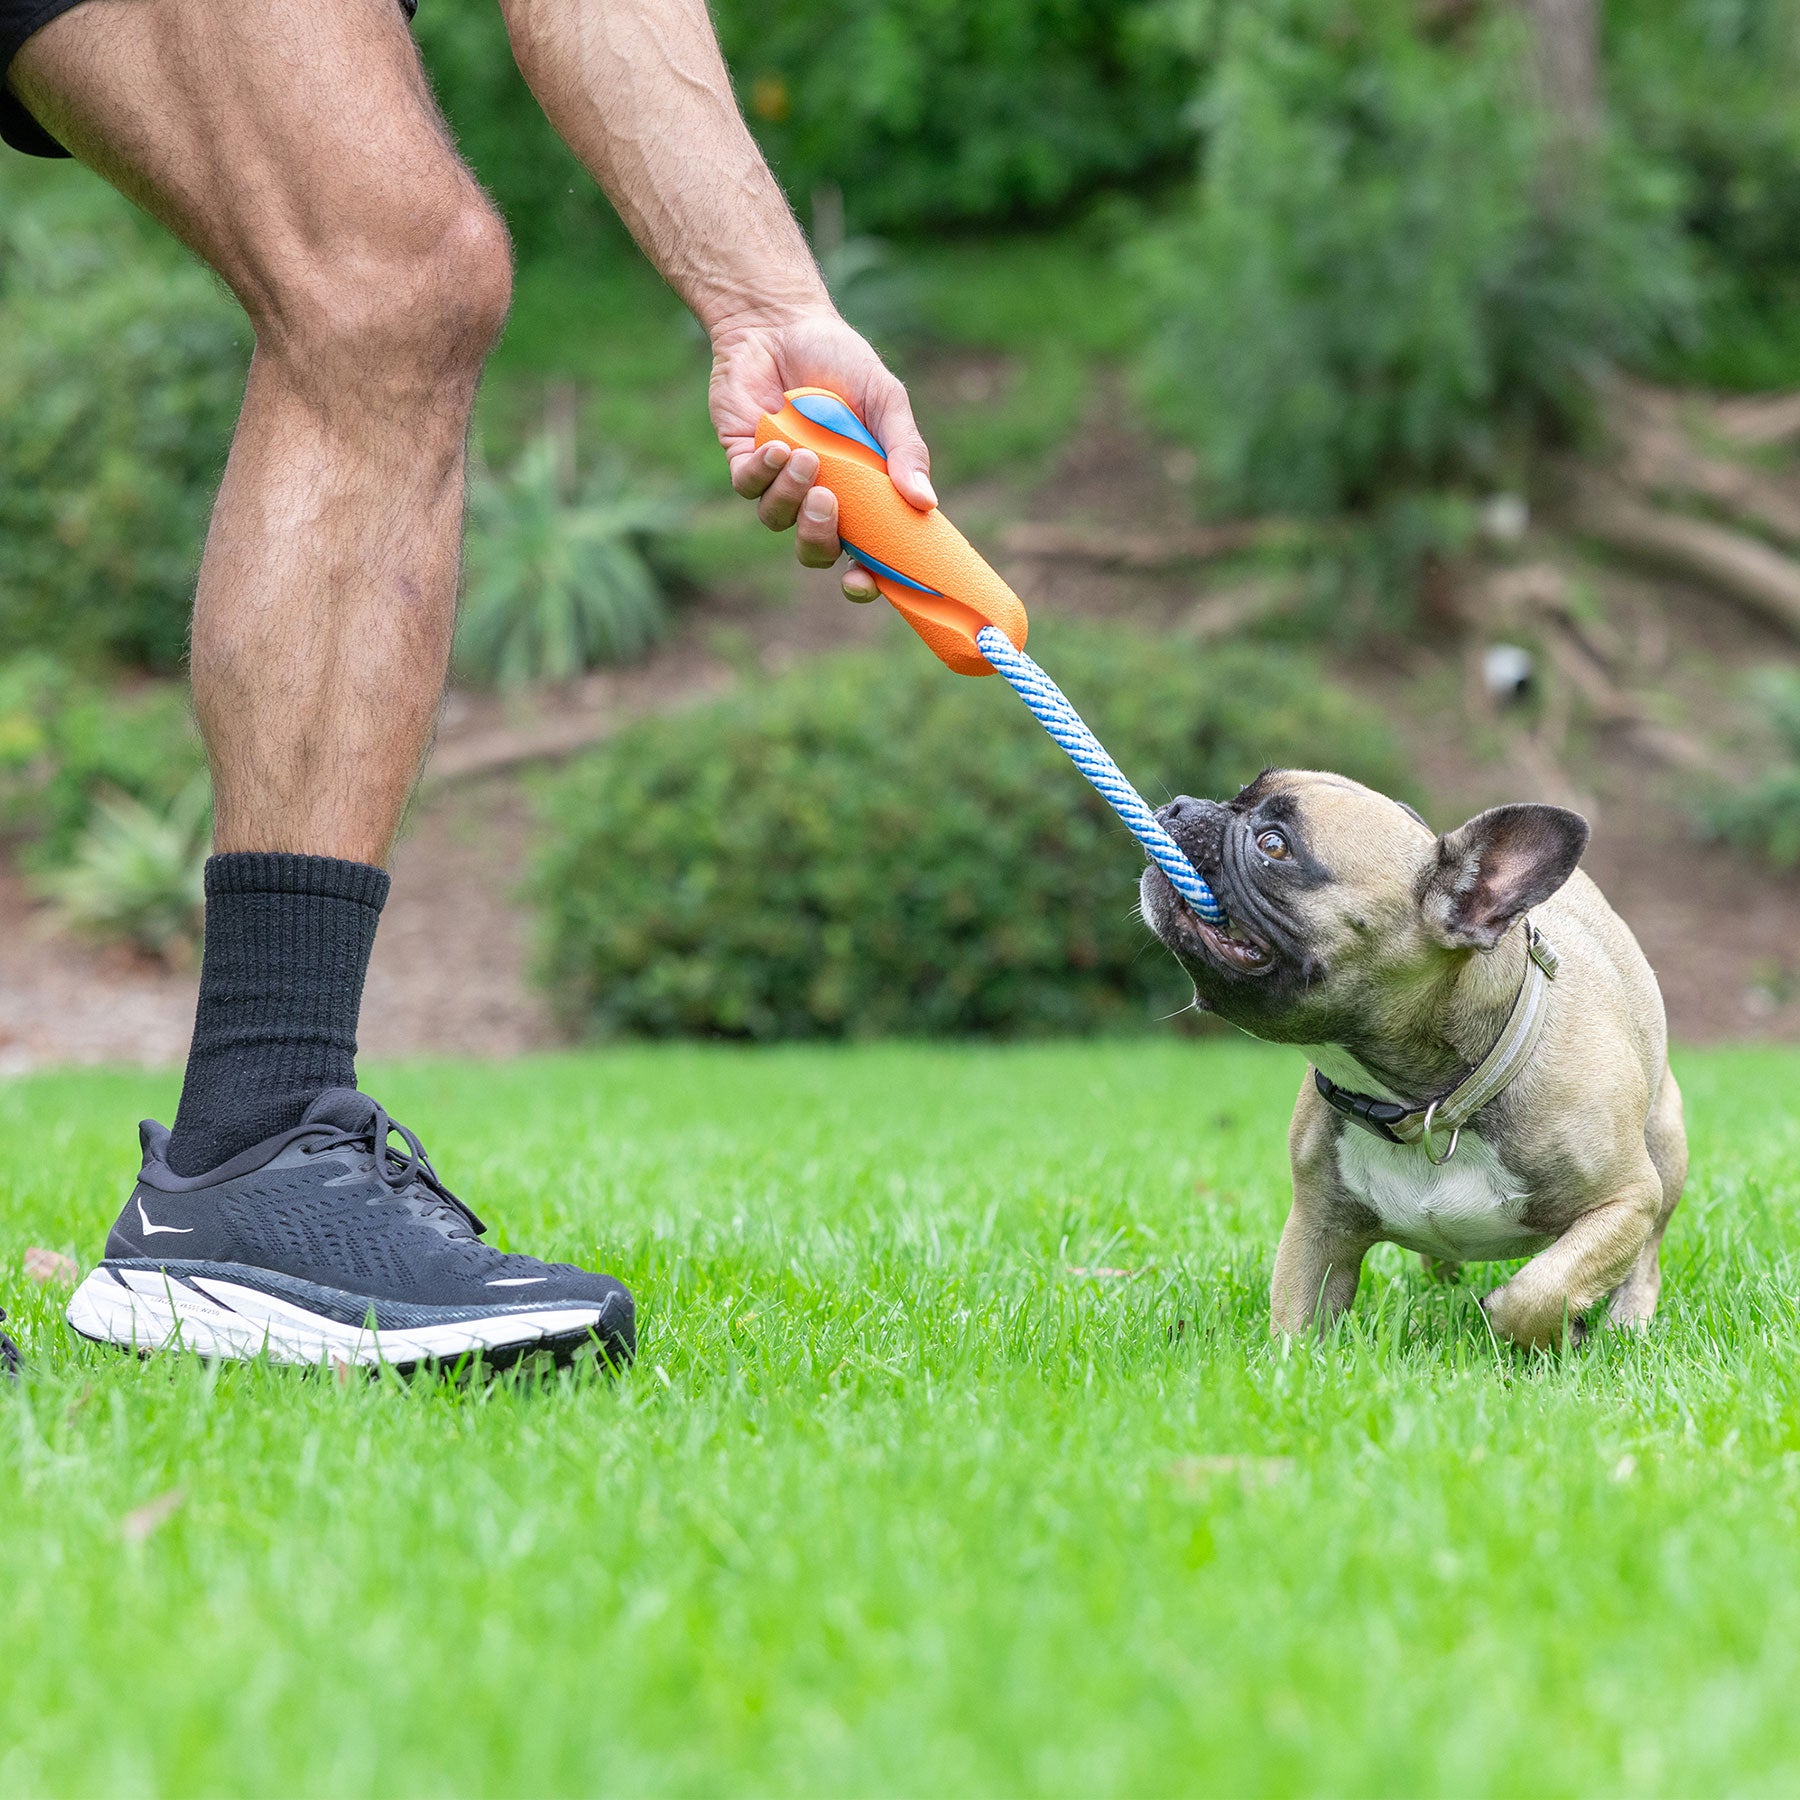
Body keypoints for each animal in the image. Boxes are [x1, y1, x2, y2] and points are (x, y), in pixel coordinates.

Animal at [1137, 774, 1684, 1353]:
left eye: (1274, 845)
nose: (1181, 806)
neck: (1425, 1104)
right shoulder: (1315, 1229)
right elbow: (1296, 1319)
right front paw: (1290, 1367)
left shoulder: (1626, 1201)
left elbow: (1539, 1291)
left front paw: (1541, 1325)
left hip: (1666, 1153)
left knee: (1644, 1260)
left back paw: (1628, 1318)